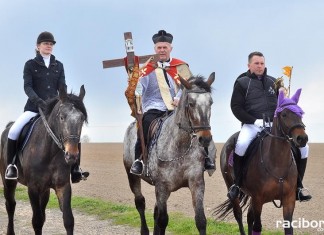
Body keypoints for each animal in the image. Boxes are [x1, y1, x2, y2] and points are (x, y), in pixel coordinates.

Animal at [0, 85, 87, 234]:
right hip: (8, 182)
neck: (49, 152)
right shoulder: (33, 188)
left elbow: (68, 220)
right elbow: (37, 221)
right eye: (62, 117)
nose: (72, 155)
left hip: (45, 189)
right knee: (10, 205)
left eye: (81, 118)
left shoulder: (63, 186)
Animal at [123, 72, 215, 234]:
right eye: (191, 103)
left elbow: (201, 220)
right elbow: (162, 220)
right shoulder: (162, 186)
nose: (205, 138)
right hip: (132, 176)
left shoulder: (196, 183)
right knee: (140, 203)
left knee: (155, 211)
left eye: (211, 102)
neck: (180, 146)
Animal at [214, 89, 308, 234]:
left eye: (301, 114)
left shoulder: (289, 199)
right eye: (284, 114)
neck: (277, 164)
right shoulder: (258, 199)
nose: (302, 138)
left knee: (248, 216)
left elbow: (288, 228)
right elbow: (257, 226)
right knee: (239, 214)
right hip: (231, 187)